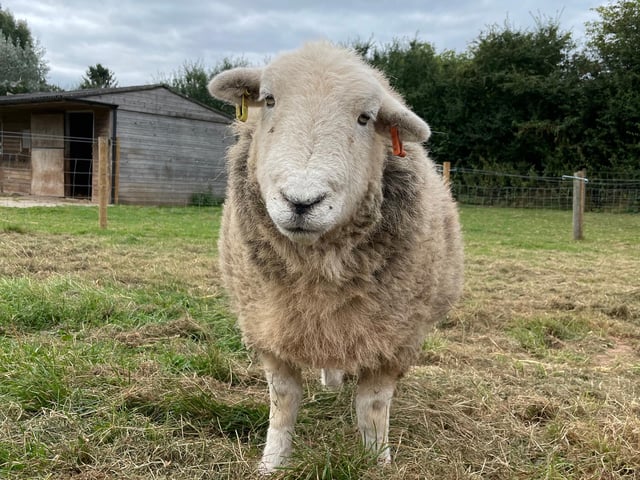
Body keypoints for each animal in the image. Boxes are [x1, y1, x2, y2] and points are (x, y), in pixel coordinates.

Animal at [208, 42, 464, 474]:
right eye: (269, 100)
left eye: (365, 118)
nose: (301, 201)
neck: (317, 270)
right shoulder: (268, 324)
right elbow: (284, 400)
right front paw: (273, 462)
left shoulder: (394, 335)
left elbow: (373, 407)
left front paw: (378, 461)